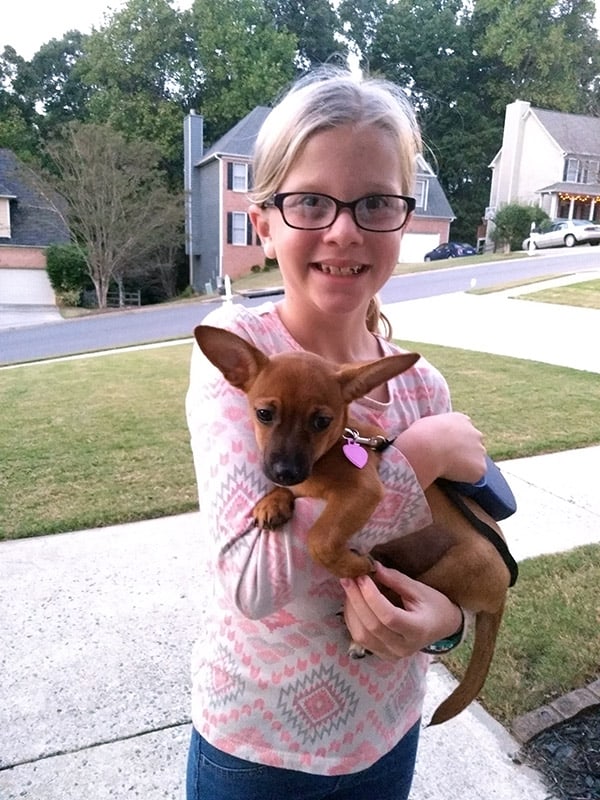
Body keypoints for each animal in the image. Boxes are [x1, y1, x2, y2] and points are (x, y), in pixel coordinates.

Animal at [195, 324, 512, 724]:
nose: (285, 470)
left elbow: (319, 539)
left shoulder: (363, 490)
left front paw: (353, 564)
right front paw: (272, 501)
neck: (333, 450)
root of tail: (501, 595)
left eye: (321, 421)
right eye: (264, 414)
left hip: (459, 566)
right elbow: (289, 496)